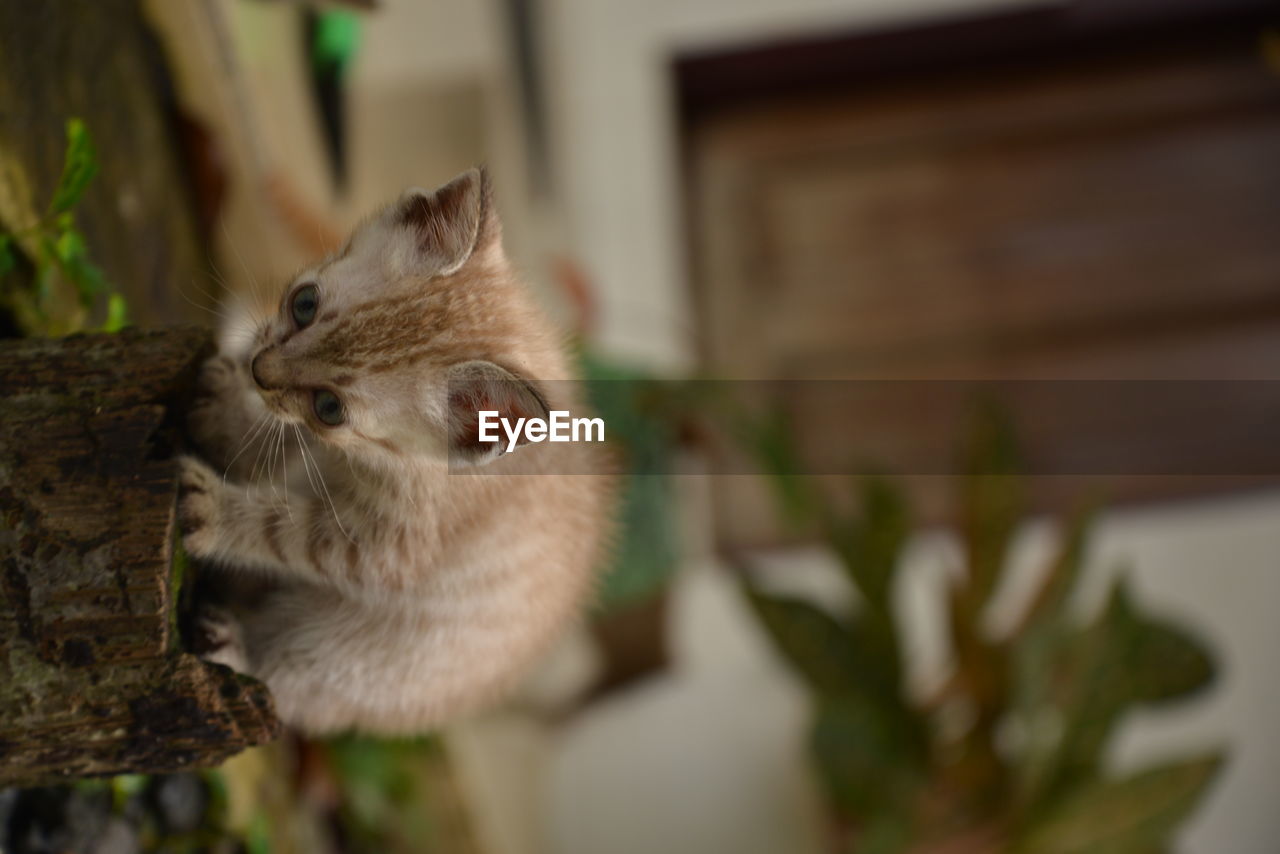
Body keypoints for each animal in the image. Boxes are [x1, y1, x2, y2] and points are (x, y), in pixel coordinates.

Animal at [181, 169, 614, 737]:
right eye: (304, 304)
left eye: (330, 408)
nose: (257, 371)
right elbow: (275, 448)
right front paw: (228, 413)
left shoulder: (382, 550)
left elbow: (281, 528)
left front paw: (213, 511)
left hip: (349, 664)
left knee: (289, 694)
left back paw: (233, 651)